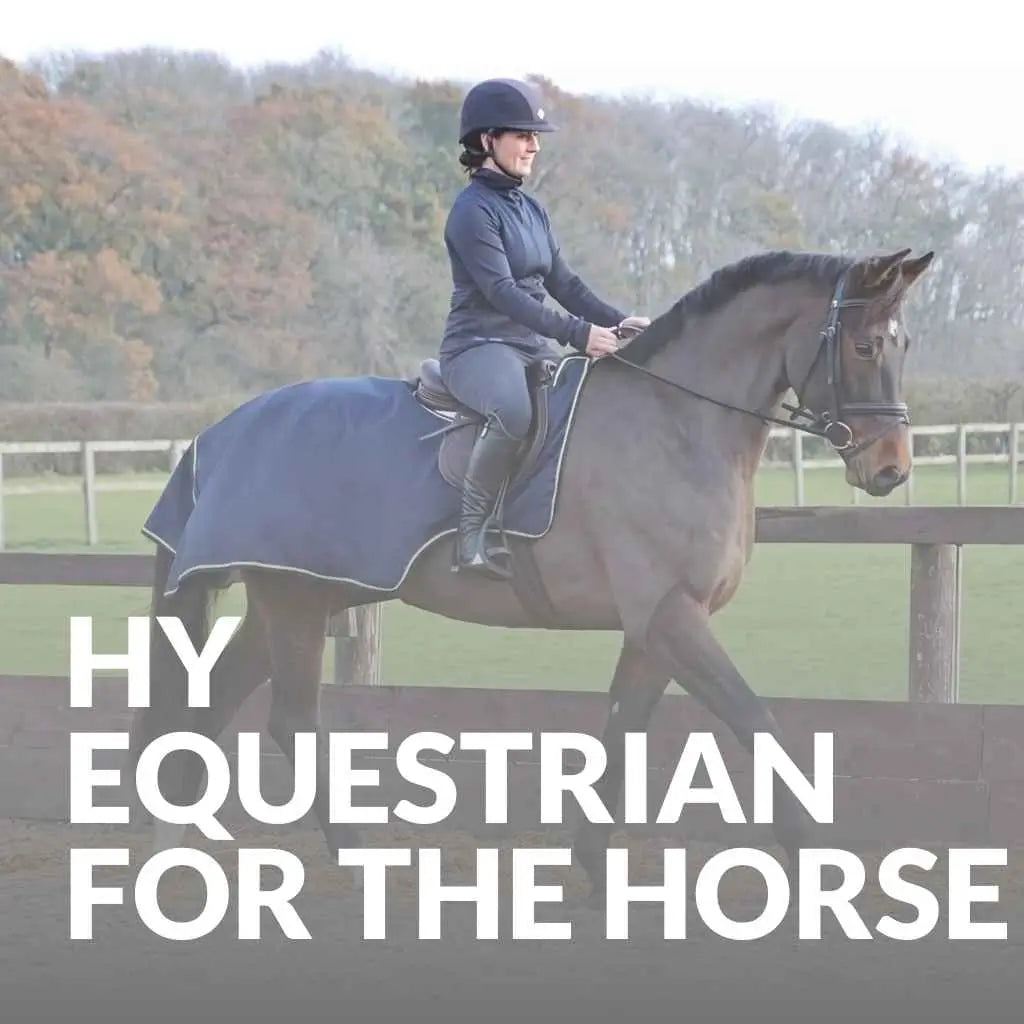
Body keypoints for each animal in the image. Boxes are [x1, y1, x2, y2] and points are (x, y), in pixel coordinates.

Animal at [128, 245, 934, 896]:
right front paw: (819, 862)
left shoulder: (655, 626)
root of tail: (222, 432)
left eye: (904, 345)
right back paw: (356, 862)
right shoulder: (671, 616)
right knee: (292, 722)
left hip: (295, 600)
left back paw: (176, 853)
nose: (891, 469)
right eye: (865, 345)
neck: (674, 425)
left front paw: (594, 870)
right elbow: (754, 721)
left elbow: (621, 733)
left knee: (211, 706)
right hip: (294, 601)